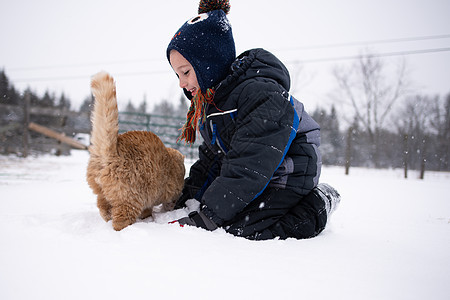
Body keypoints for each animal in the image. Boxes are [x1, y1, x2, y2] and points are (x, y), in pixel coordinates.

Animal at [86, 71, 185, 231]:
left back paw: (107, 218)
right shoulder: (169, 194)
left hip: (102, 194)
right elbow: (165, 204)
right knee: (119, 222)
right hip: (130, 200)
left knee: (103, 208)